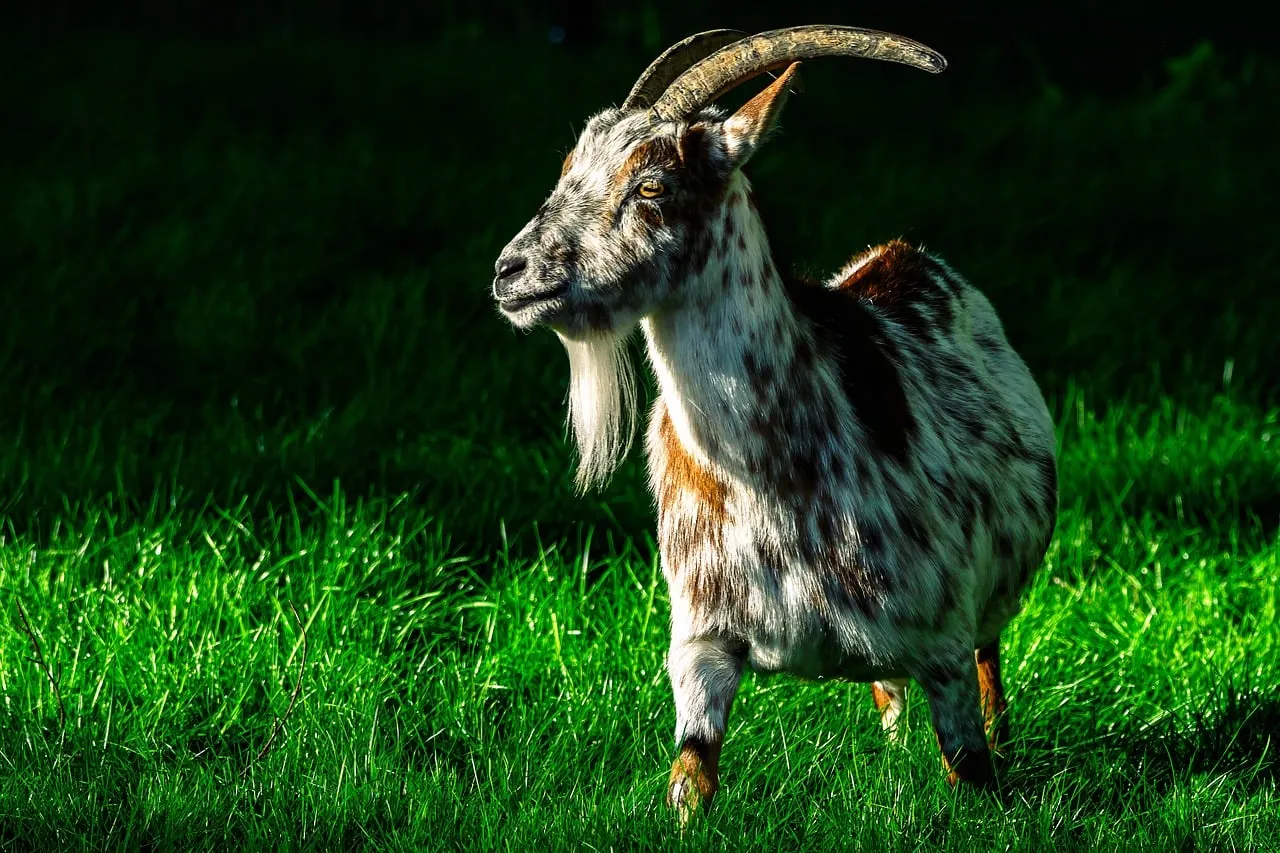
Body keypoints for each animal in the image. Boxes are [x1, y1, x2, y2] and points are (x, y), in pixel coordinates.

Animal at [492, 25, 1057, 818]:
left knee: (991, 662)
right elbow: (690, 779)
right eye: (570, 166)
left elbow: (970, 771)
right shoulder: (699, 644)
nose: (510, 273)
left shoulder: (942, 638)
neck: (771, 478)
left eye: (651, 185)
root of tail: (904, 253)